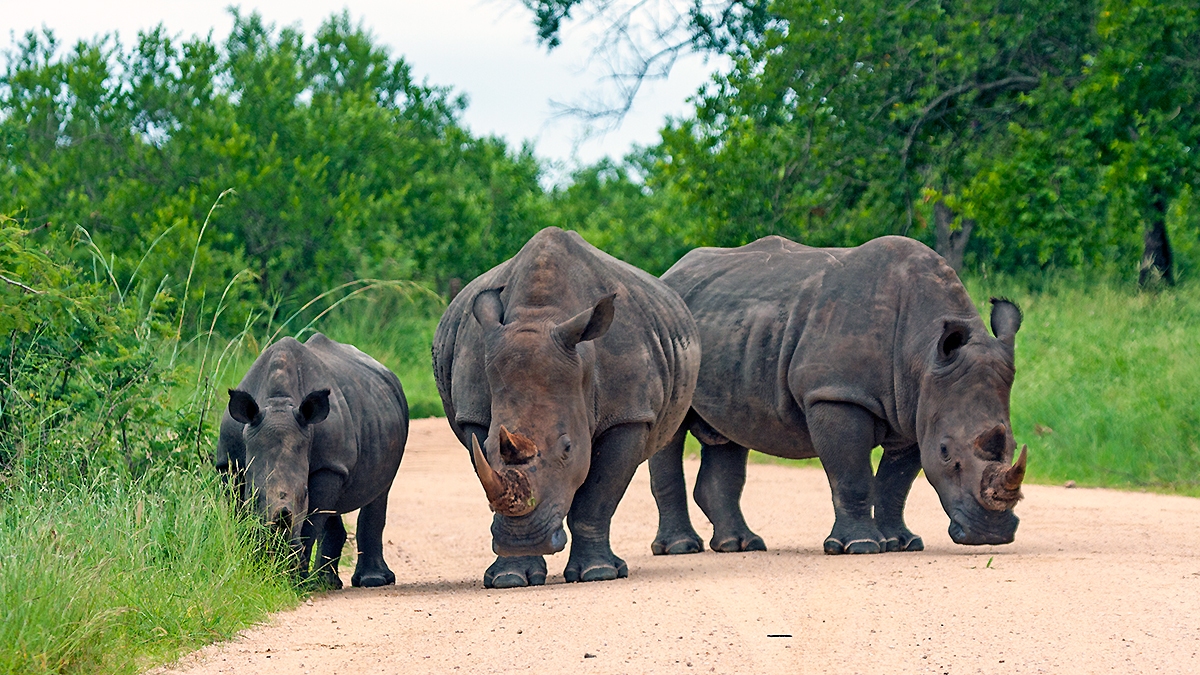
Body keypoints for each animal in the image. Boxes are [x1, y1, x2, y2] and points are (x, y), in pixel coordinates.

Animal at [217, 333, 407, 587]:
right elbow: (238, 513)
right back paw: (325, 583)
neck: (277, 403)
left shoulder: (328, 466)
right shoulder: (230, 463)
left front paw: (294, 580)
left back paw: (371, 581)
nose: (275, 551)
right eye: (254, 494)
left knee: (380, 490)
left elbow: (312, 521)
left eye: (304, 493)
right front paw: (258, 569)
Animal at [433, 227, 699, 588]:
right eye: (486, 447)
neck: (539, 315)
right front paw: (509, 578)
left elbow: (598, 498)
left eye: (568, 448)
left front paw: (598, 574)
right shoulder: (472, 413)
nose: (523, 541)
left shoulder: (629, 415)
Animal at [649, 235, 1027, 556]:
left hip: (735, 332)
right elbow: (852, 475)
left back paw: (741, 545)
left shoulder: (916, 411)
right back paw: (682, 548)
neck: (922, 352)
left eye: (1012, 445)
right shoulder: (836, 394)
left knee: (731, 430)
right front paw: (860, 546)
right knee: (671, 433)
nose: (991, 535)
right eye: (947, 452)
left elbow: (896, 482)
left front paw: (901, 543)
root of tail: (670, 273)